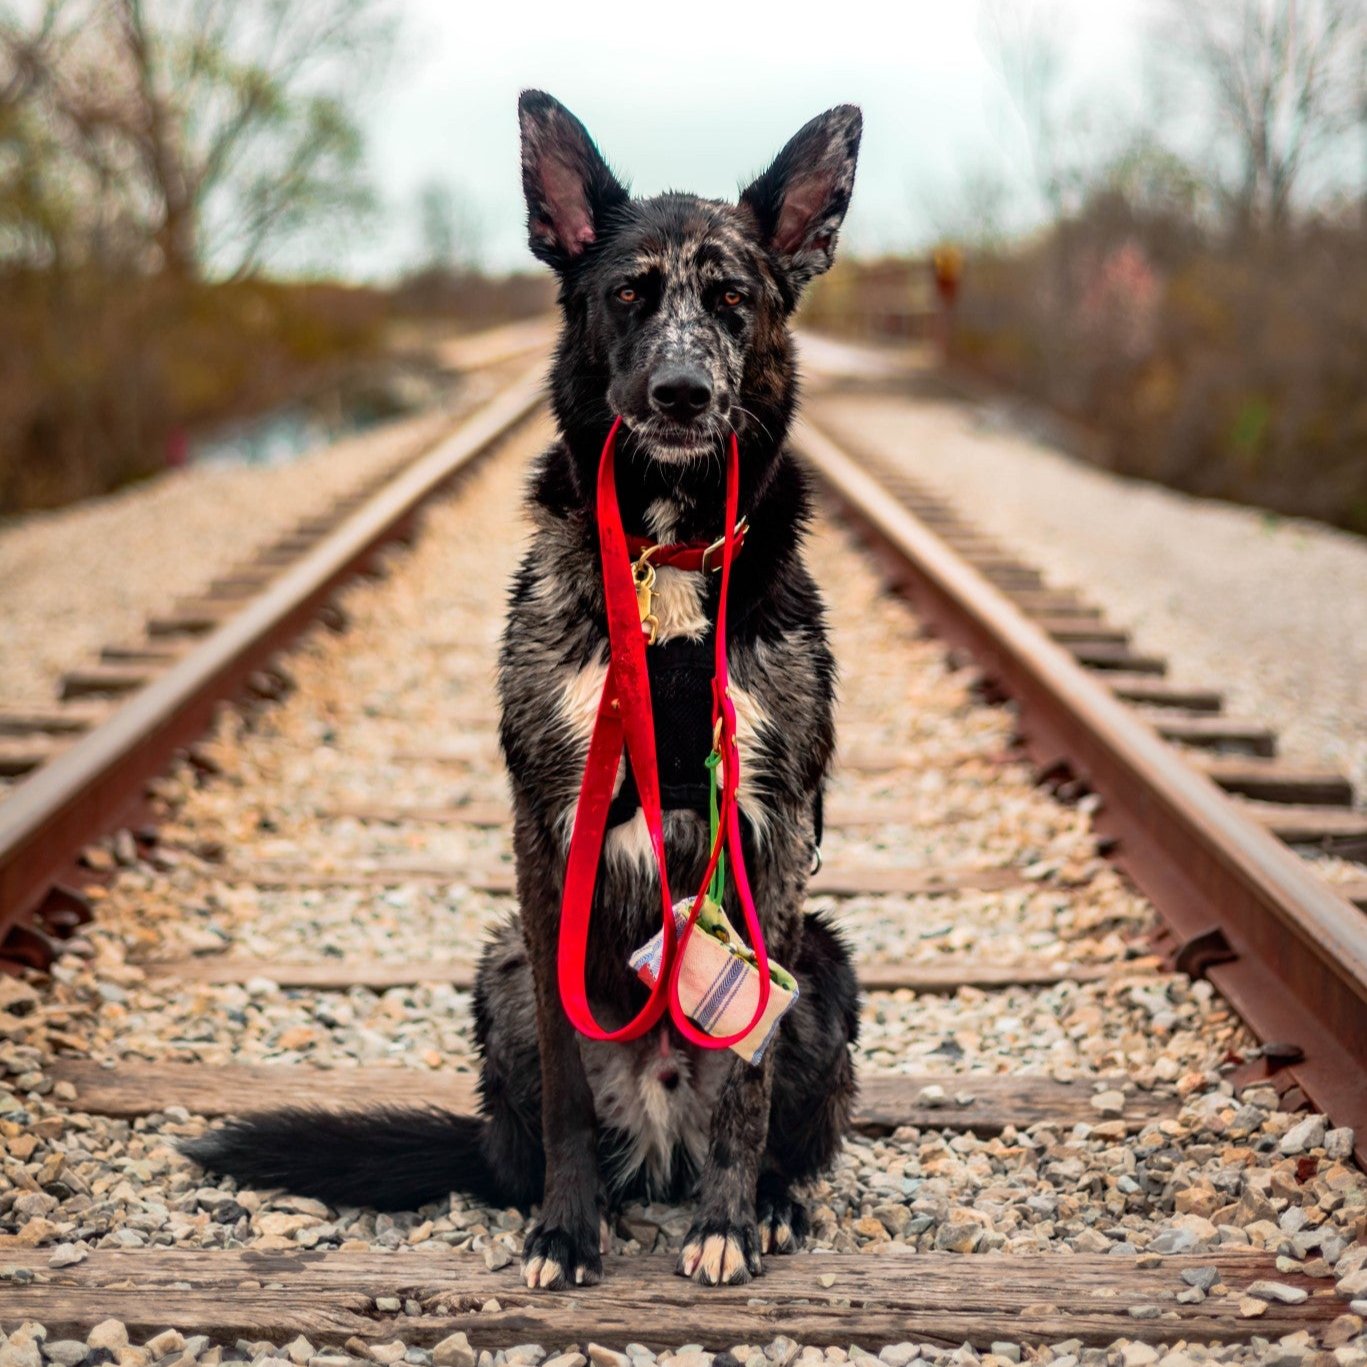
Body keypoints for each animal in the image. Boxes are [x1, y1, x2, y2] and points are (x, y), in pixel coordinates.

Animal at [187, 90, 858, 1284]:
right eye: (628, 293)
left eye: (731, 298)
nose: (681, 392)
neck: (666, 553)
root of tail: (661, 1121)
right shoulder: (546, 827)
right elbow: (560, 1081)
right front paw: (565, 1225)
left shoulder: (776, 825)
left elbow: (750, 1076)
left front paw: (729, 1222)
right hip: (497, 962)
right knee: (527, 1130)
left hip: (823, 963)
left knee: (773, 1102)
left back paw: (768, 1200)